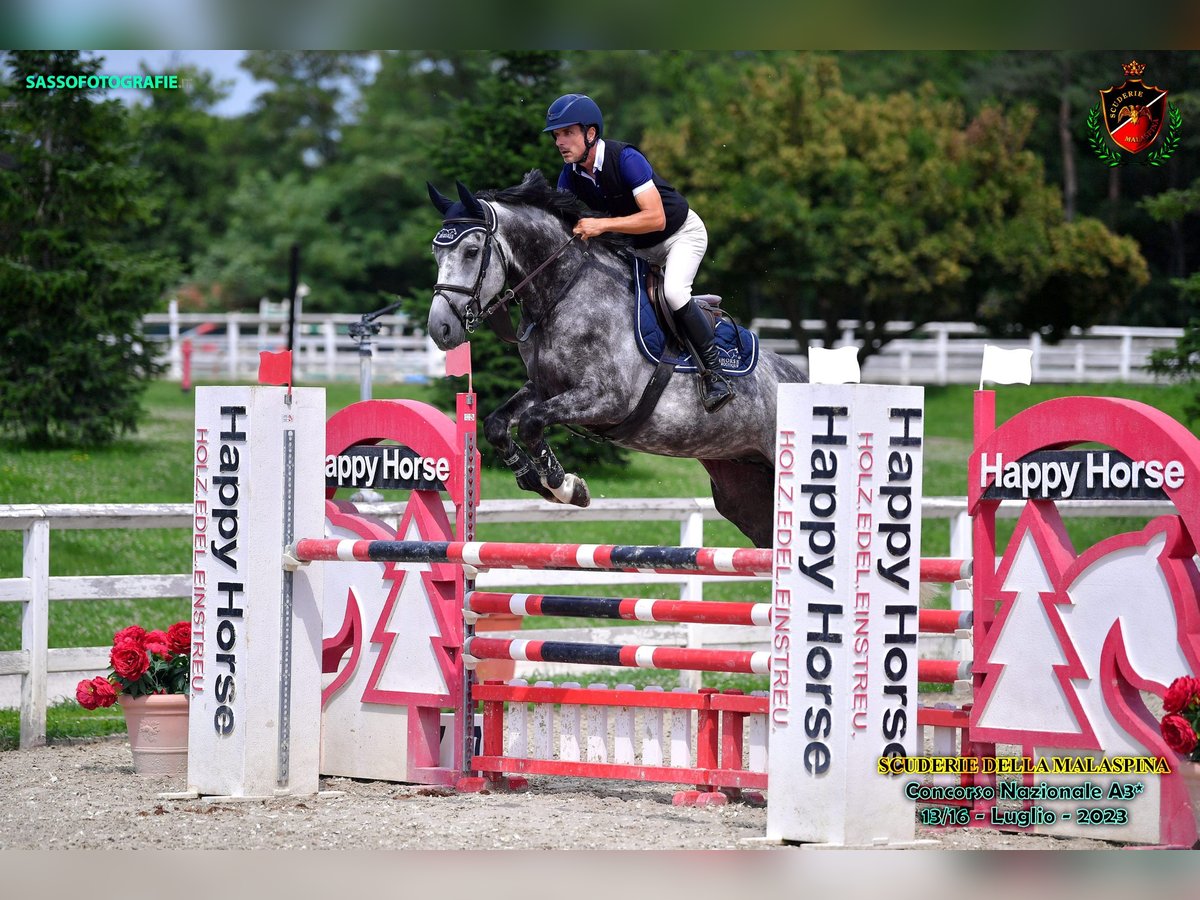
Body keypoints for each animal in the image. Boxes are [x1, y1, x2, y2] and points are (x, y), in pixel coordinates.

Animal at [424, 170, 806, 549]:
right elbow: (497, 424)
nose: (441, 329)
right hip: (743, 488)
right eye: (436, 253)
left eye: (472, 251)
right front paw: (535, 479)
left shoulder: (606, 400)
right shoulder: (546, 389)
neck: (562, 293)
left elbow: (532, 422)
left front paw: (565, 486)